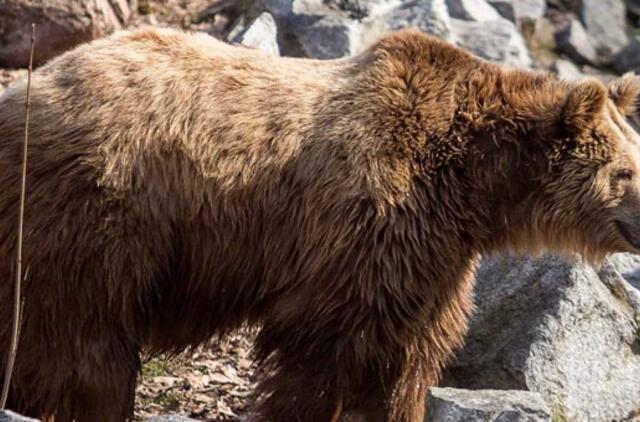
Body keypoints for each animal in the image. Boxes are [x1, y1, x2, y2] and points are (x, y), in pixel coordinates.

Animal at [1, 27, 640, 422]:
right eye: (626, 170)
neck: (472, 183)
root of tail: (24, 90)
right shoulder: (367, 224)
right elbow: (327, 350)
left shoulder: (435, 257)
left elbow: (409, 358)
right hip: (102, 211)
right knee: (83, 339)